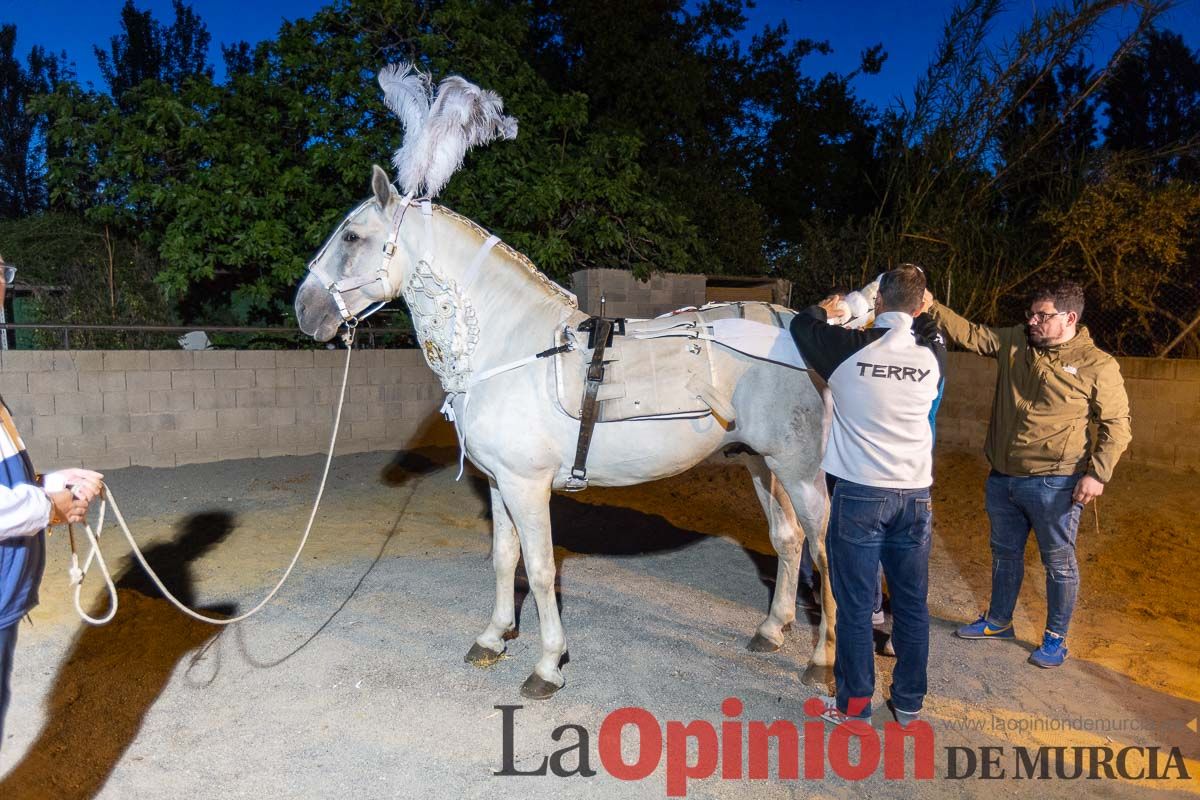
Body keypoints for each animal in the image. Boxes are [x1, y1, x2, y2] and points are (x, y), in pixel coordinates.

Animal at [292, 65, 873, 695]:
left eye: (352, 237)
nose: (303, 310)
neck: (509, 345)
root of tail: (801, 326)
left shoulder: (527, 486)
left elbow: (543, 569)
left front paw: (547, 664)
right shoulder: (500, 483)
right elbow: (504, 559)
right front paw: (493, 638)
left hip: (800, 470)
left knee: (826, 553)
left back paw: (823, 661)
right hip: (760, 463)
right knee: (789, 541)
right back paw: (772, 631)